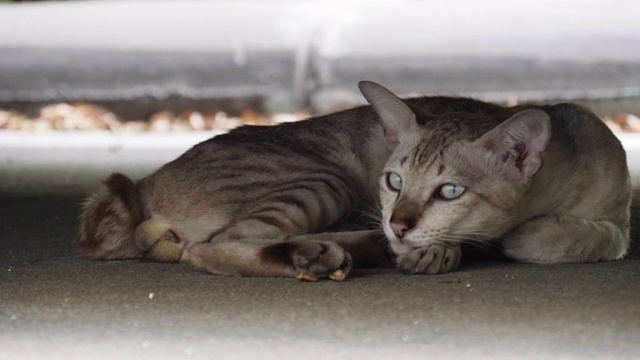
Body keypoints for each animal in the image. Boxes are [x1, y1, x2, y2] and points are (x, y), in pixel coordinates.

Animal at [75, 80, 632, 280]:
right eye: (394, 181)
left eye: (450, 190)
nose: (401, 223)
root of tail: (146, 181)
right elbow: (564, 238)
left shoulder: (617, 217)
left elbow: (594, 235)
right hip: (321, 181)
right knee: (214, 248)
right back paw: (317, 257)